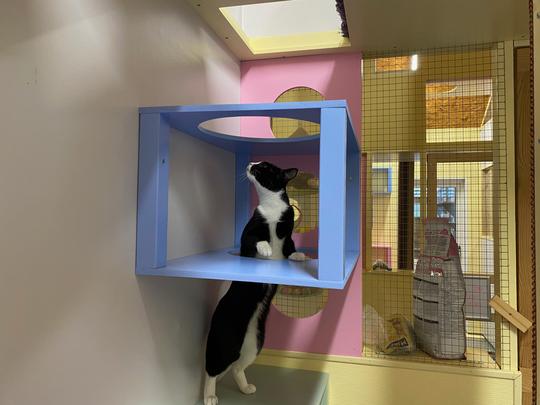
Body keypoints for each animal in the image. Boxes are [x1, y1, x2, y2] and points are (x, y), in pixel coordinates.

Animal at [203, 161, 307, 405]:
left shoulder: (286, 228)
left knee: (236, 367)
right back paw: (209, 395)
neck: (271, 205)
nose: (251, 163)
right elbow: (255, 239)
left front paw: (298, 256)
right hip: (225, 339)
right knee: (211, 368)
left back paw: (245, 388)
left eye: (265, 166)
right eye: (258, 164)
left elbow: (290, 245)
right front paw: (267, 249)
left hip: (255, 341)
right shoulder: (249, 234)